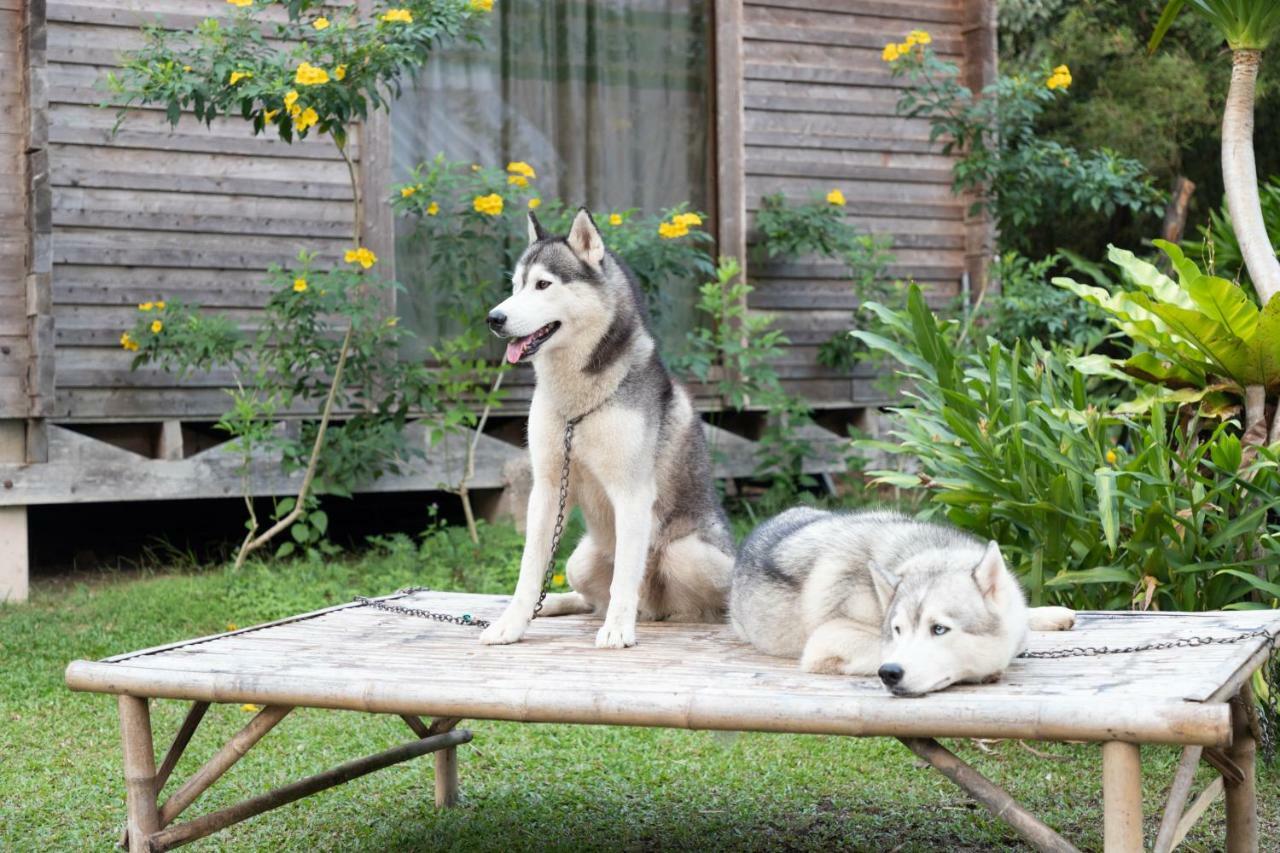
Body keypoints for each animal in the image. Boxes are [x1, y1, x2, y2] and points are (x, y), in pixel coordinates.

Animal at [478, 208, 742, 648]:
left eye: (543, 284)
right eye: (515, 287)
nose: (494, 318)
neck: (577, 403)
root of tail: (653, 611)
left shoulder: (632, 492)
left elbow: (625, 577)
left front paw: (618, 628)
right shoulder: (546, 489)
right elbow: (530, 570)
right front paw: (512, 623)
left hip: (687, 554)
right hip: (580, 560)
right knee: (587, 598)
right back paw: (552, 605)